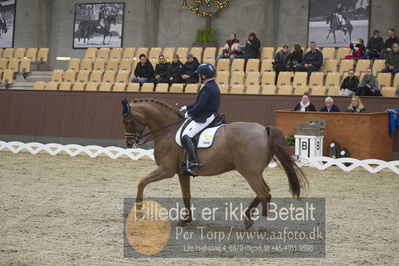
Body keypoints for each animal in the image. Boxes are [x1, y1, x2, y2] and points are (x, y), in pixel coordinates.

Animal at [120, 98, 308, 228]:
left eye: (127, 120)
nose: (129, 143)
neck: (168, 130)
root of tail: (264, 130)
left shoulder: (166, 170)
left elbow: (142, 182)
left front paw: (138, 212)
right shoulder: (182, 172)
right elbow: (186, 195)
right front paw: (186, 219)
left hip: (249, 173)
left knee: (264, 193)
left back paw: (261, 222)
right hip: (253, 172)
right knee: (264, 192)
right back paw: (248, 217)